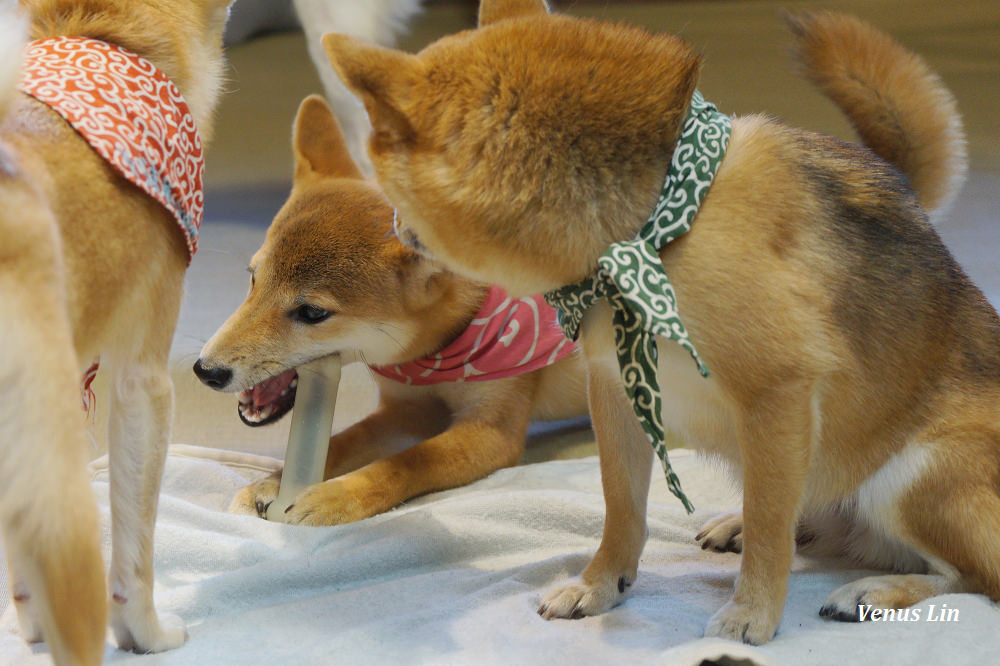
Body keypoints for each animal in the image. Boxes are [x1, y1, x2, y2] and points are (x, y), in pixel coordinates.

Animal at [0, 0, 230, 660]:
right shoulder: (143, 385)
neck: (101, 36)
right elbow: (135, 555)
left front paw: (28, 626)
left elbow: (21, 564)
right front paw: (147, 635)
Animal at [192, 93, 588, 528]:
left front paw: (334, 498)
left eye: (312, 313)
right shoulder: (407, 408)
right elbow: (346, 440)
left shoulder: (492, 431)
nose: (205, 370)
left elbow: (407, 463)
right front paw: (272, 484)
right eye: (253, 279)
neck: (436, 352)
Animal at [322, 0, 1000, 644]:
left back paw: (874, 589)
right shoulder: (617, 389)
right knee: (807, 514)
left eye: (384, 180)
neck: (657, 228)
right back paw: (742, 523)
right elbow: (623, 507)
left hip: (914, 476)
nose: (393, 231)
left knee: (972, 576)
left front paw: (752, 612)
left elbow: (771, 533)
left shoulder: (777, 396)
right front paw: (600, 585)